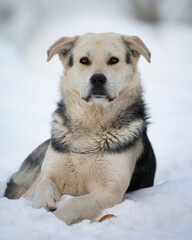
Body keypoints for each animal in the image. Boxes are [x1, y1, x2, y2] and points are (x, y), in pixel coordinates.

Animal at [3, 32, 156, 224]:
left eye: (113, 60)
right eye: (84, 60)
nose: (98, 78)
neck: (90, 128)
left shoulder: (110, 190)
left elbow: (75, 202)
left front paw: (55, 219)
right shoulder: (48, 174)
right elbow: (44, 184)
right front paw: (43, 204)